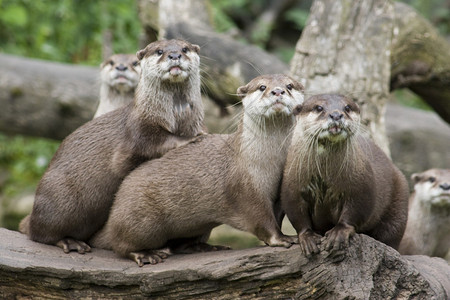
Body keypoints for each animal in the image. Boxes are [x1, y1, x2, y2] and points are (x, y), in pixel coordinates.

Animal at [19, 39, 205, 253]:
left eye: (185, 48)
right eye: (159, 51)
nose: (174, 55)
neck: (176, 117)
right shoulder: (136, 131)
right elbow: (151, 144)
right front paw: (189, 139)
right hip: (57, 198)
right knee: (38, 233)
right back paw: (69, 241)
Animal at [89, 74, 304, 266]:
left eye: (290, 85)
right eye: (261, 87)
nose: (278, 91)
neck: (267, 162)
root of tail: (114, 212)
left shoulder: (278, 189)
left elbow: (277, 215)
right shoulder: (245, 187)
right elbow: (261, 219)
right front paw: (282, 239)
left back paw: (205, 247)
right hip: (141, 221)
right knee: (120, 245)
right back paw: (146, 254)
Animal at [282, 94, 412, 255]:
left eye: (347, 107)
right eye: (319, 107)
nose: (336, 114)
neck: (324, 175)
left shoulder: (360, 186)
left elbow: (355, 210)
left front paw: (338, 233)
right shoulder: (292, 187)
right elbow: (297, 215)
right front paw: (307, 237)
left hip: (399, 204)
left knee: (391, 234)